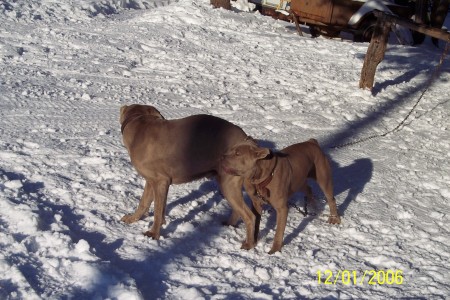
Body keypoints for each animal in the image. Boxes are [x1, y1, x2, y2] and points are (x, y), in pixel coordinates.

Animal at [119, 104, 258, 250]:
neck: (138, 124)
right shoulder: (151, 181)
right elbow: (144, 203)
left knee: (250, 216)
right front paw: (132, 219)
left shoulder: (161, 181)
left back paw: (249, 244)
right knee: (238, 210)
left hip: (228, 183)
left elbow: (157, 211)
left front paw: (153, 234)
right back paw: (229, 224)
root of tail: (247, 140)